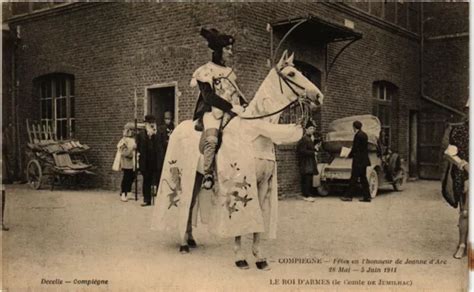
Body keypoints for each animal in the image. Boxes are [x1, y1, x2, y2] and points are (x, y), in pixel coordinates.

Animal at [154, 49, 324, 270]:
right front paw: (240, 257)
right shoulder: (240, 181)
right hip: (186, 176)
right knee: (184, 203)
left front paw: (259, 257)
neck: (256, 133)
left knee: (190, 206)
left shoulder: (262, 184)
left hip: (197, 177)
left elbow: (258, 217)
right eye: (292, 74)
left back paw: (190, 240)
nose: (318, 96)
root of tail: (176, 129)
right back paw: (183, 243)